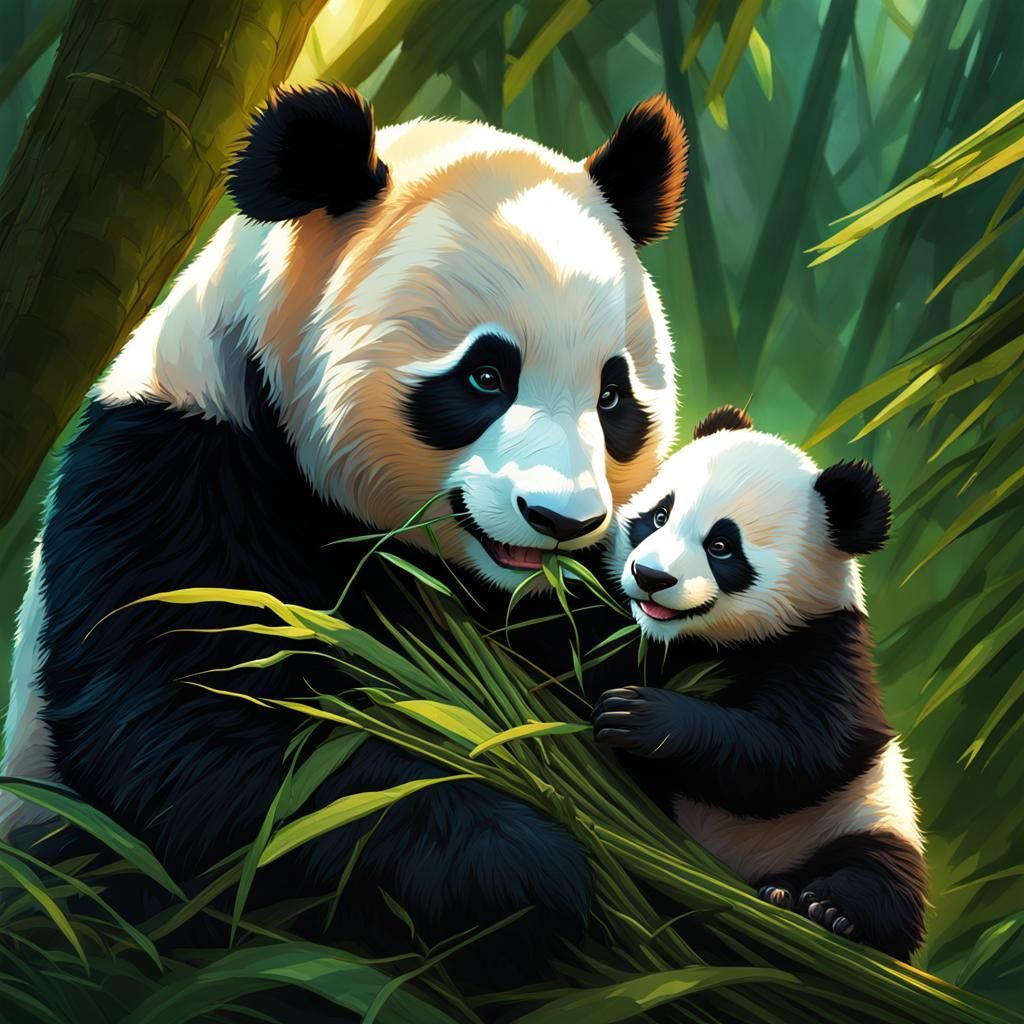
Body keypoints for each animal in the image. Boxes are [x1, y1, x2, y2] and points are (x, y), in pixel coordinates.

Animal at [0, 83, 686, 982]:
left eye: (612, 396)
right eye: (486, 375)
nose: (561, 520)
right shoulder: (170, 483)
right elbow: (207, 733)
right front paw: (524, 870)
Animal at [591, 406, 927, 962]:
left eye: (721, 547)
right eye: (659, 516)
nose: (651, 577)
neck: (698, 642)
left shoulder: (823, 647)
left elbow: (802, 750)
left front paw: (642, 717)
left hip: (862, 816)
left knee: (884, 874)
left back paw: (827, 907)